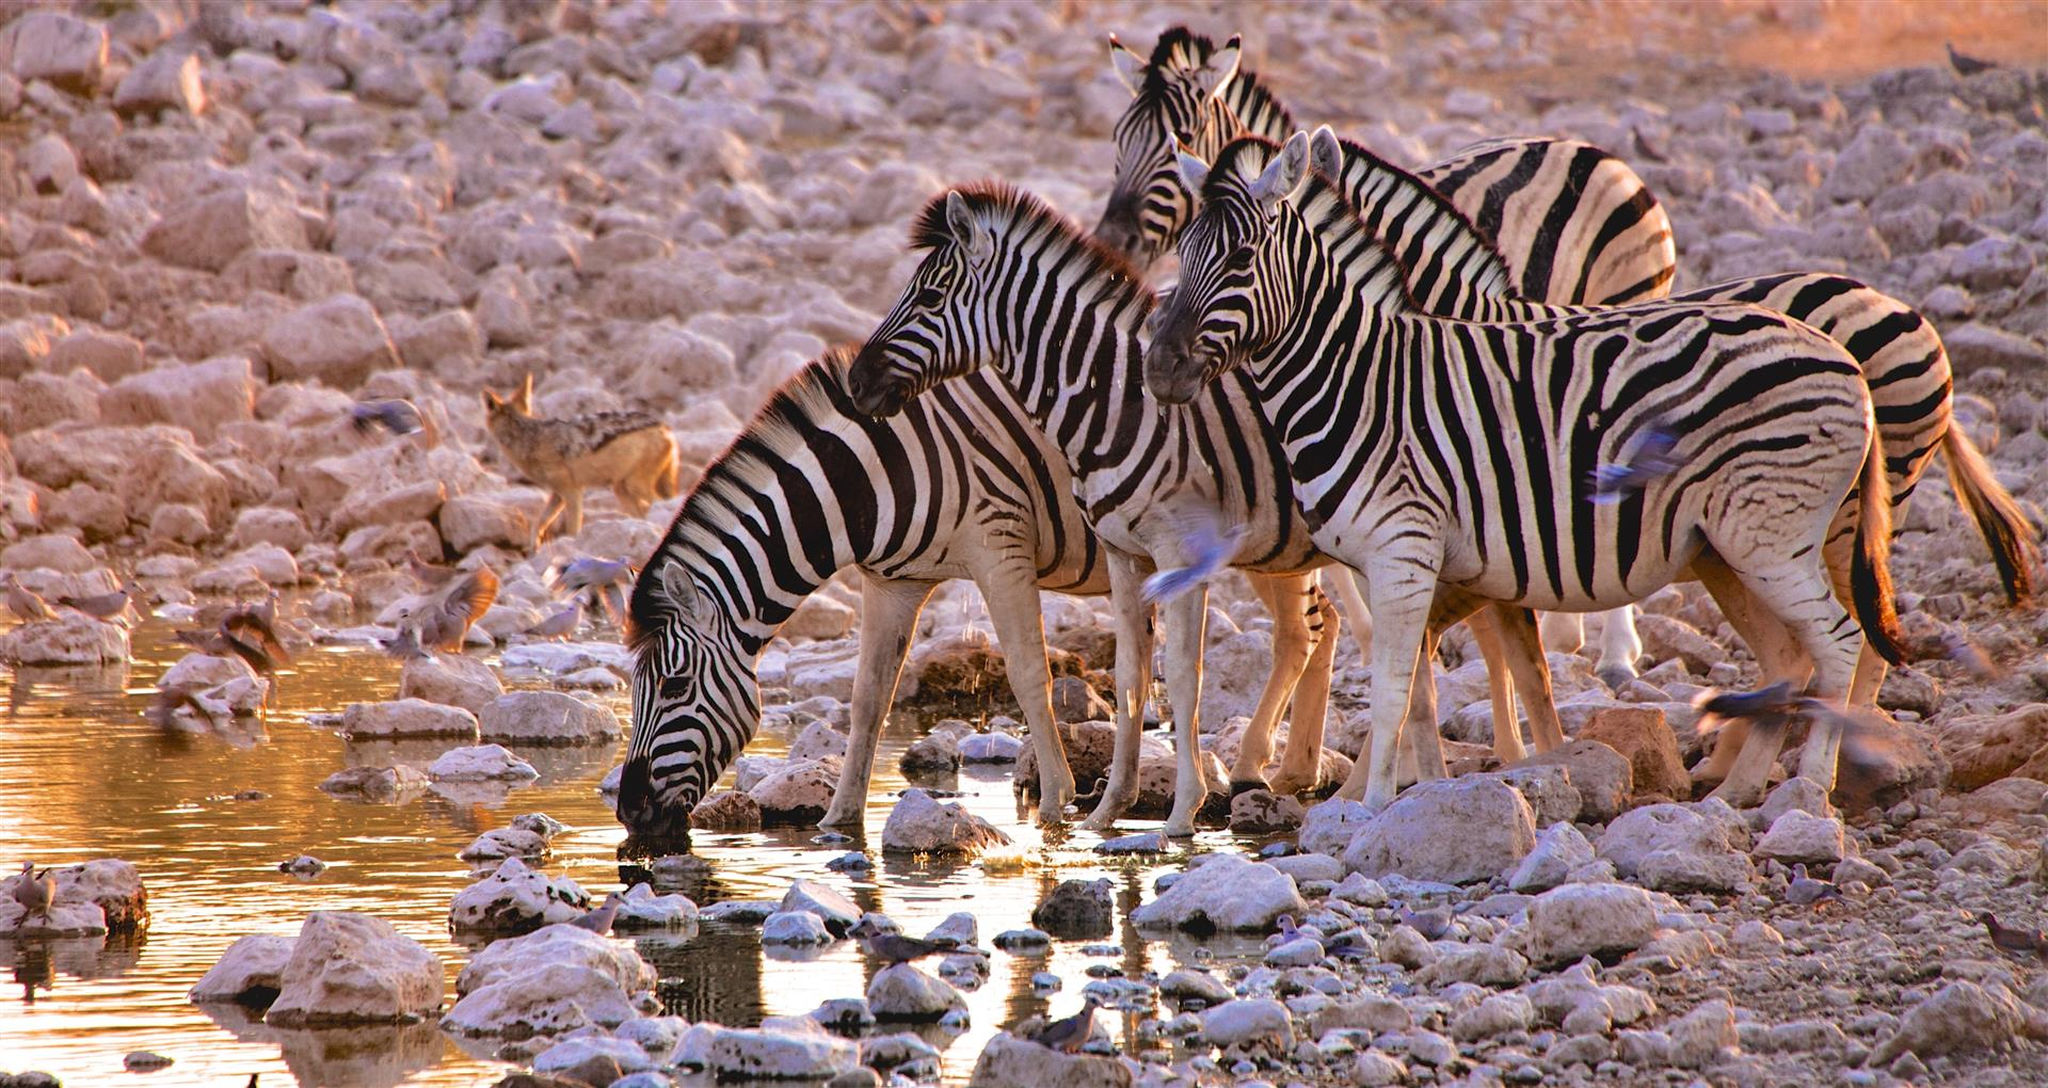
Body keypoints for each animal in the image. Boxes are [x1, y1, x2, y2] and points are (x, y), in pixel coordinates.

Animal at [839, 183, 1556, 840]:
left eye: (931, 298)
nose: (856, 383)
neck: (1114, 400)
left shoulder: (1180, 552)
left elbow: (1183, 678)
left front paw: (1182, 813)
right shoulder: (1124, 553)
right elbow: (1131, 677)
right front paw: (1108, 809)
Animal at [1146, 132, 1908, 811]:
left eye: (1242, 256)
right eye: (1181, 254)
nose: (1159, 368)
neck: (1357, 377)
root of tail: (1842, 358)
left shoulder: (1404, 551)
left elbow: (1397, 687)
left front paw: (1374, 808)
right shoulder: (1401, 562)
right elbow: (1424, 692)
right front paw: (1412, 796)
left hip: (1776, 538)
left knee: (1840, 644)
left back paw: (1811, 790)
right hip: (1729, 549)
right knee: (1790, 657)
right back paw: (1742, 789)